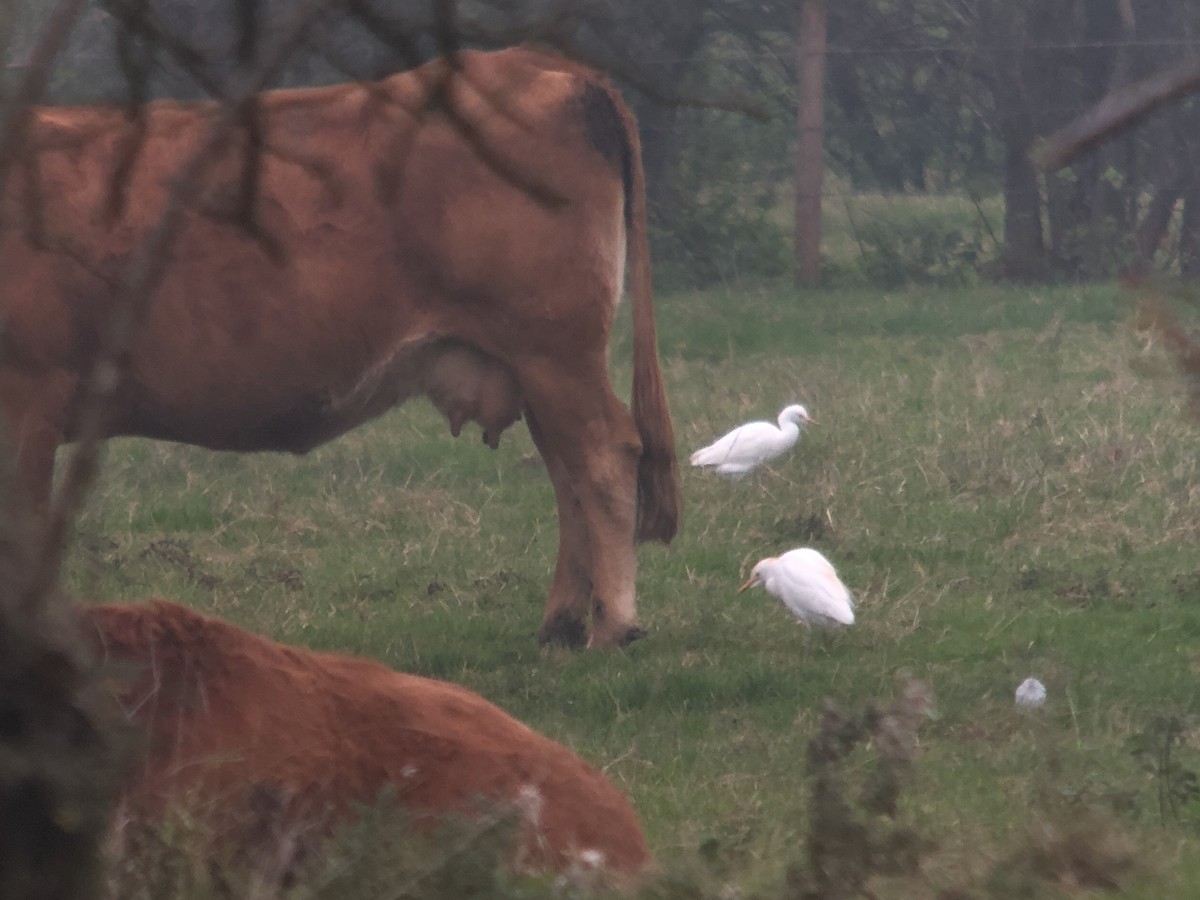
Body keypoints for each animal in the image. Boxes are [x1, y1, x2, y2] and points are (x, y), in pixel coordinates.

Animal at [0, 47, 681, 648]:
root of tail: (540, 62)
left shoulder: (31, 391)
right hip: (533, 365)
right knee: (567, 473)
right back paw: (560, 625)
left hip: (553, 352)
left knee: (602, 456)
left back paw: (611, 626)